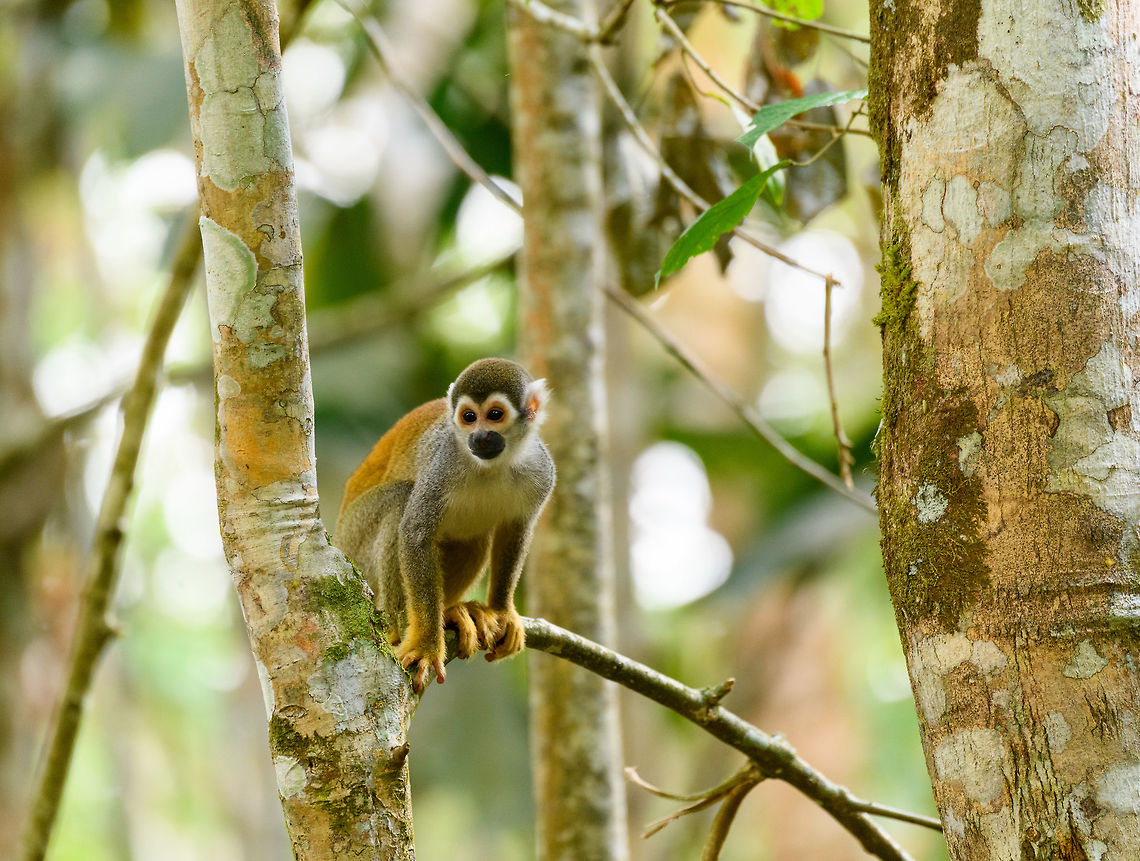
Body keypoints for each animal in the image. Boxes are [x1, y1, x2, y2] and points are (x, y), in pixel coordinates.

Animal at [334, 358, 555, 692]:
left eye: (494, 415)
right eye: (469, 417)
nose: (479, 437)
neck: (494, 465)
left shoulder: (541, 471)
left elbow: (516, 530)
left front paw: (501, 611)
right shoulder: (443, 464)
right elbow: (415, 534)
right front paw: (426, 643)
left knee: (476, 537)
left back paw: (452, 611)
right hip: (355, 547)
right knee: (399, 500)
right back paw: (401, 625)